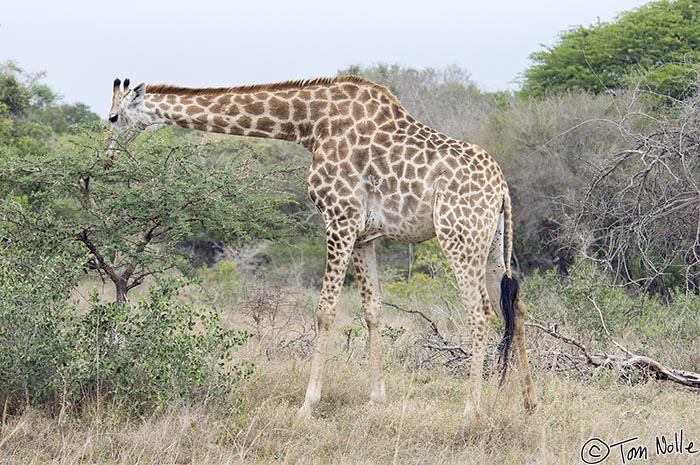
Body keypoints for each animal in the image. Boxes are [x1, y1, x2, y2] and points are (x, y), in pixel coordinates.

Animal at [106, 75, 540, 414]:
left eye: (113, 117)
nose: (107, 158)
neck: (309, 125)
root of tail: (502, 188)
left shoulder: (339, 219)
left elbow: (326, 310)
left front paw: (308, 402)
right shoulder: (364, 234)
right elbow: (372, 311)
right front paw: (377, 397)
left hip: (458, 235)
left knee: (480, 312)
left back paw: (472, 406)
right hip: (492, 243)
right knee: (515, 306)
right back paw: (530, 402)